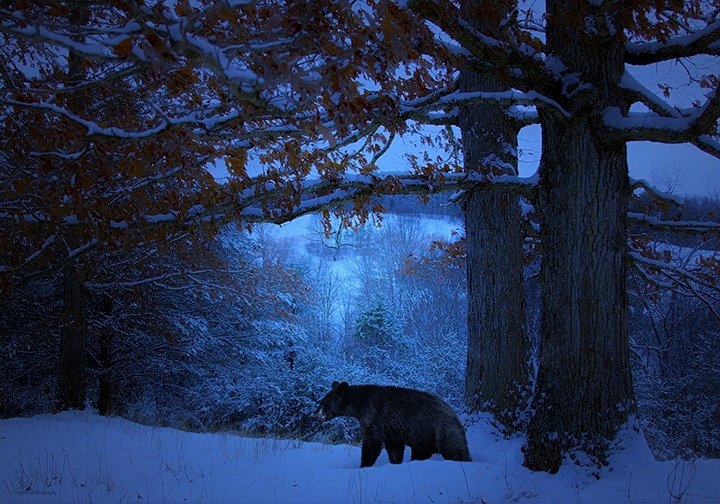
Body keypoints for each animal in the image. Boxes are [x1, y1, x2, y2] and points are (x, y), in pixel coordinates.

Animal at [315, 381, 471, 467]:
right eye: (321, 402)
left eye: (325, 404)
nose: (314, 415)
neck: (360, 407)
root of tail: (453, 413)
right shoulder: (392, 430)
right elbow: (394, 449)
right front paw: (395, 463)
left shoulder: (375, 419)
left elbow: (371, 445)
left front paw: (364, 465)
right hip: (424, 439)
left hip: (442, 430)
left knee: (455, 451)